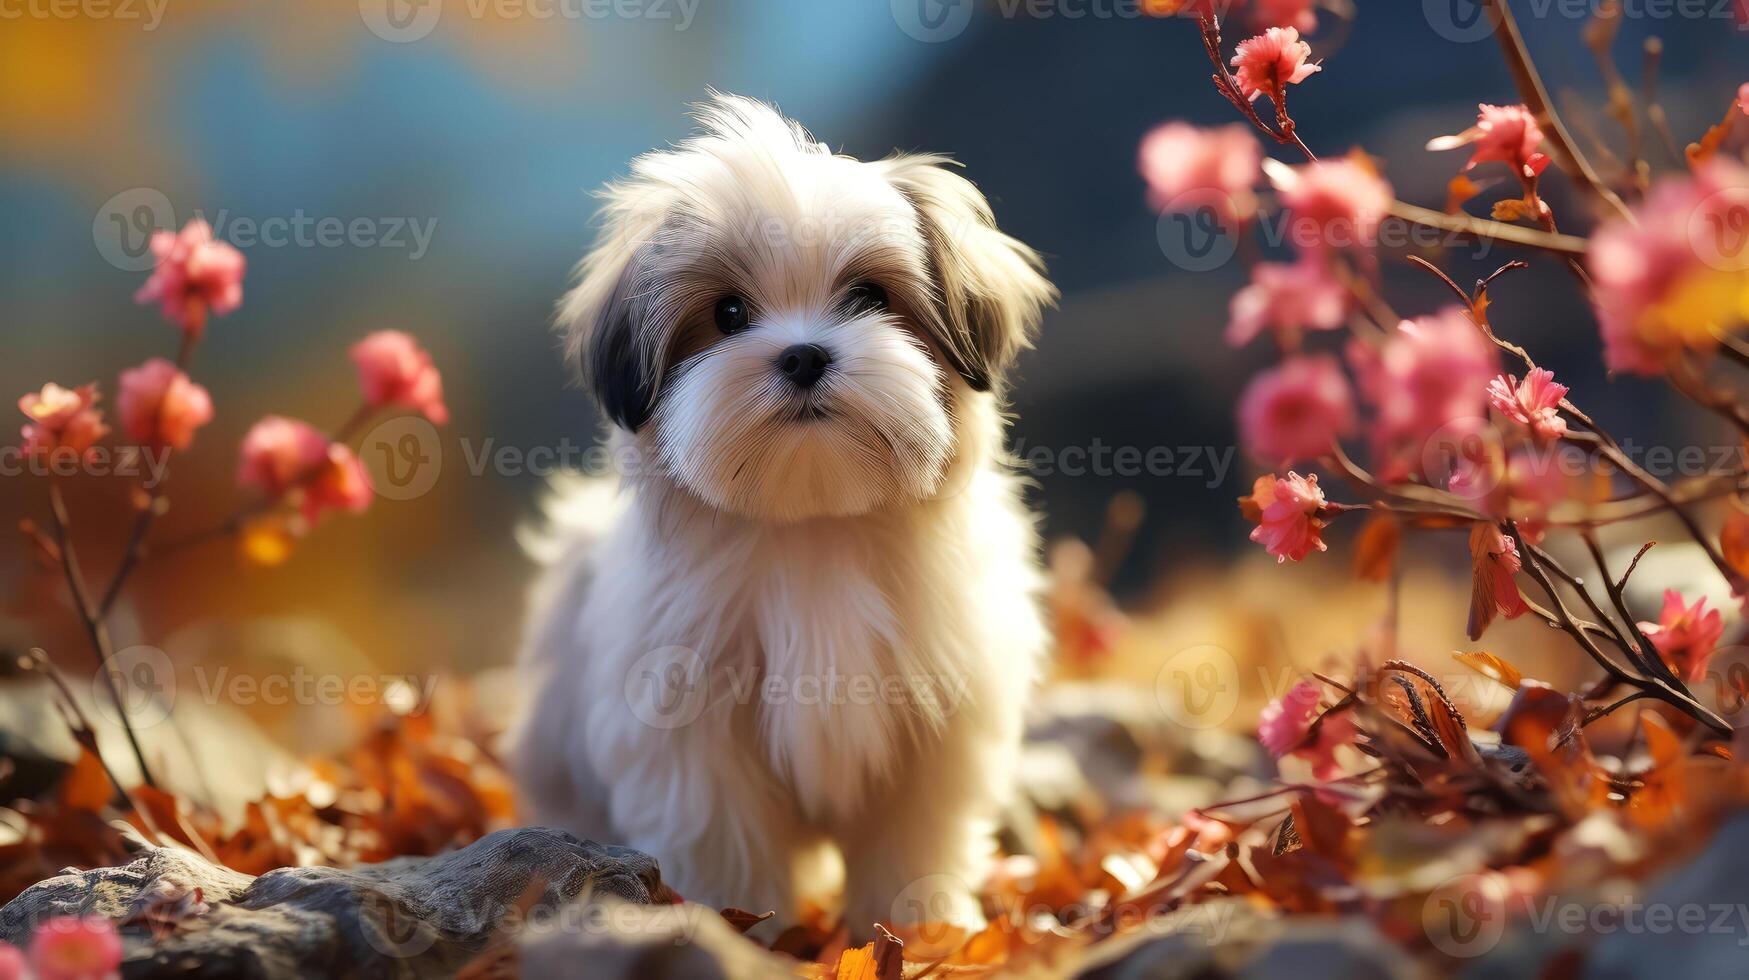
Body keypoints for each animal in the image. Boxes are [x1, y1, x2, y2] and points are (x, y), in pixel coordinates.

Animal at [507, 93, 1049, 931]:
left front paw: (917, 927)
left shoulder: (934, 725)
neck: (810, 524)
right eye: (728, 312)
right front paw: (749, 927)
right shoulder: (686, 728)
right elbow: (724, 837)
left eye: (867, 297)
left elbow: (911, 840)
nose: (802, 355)